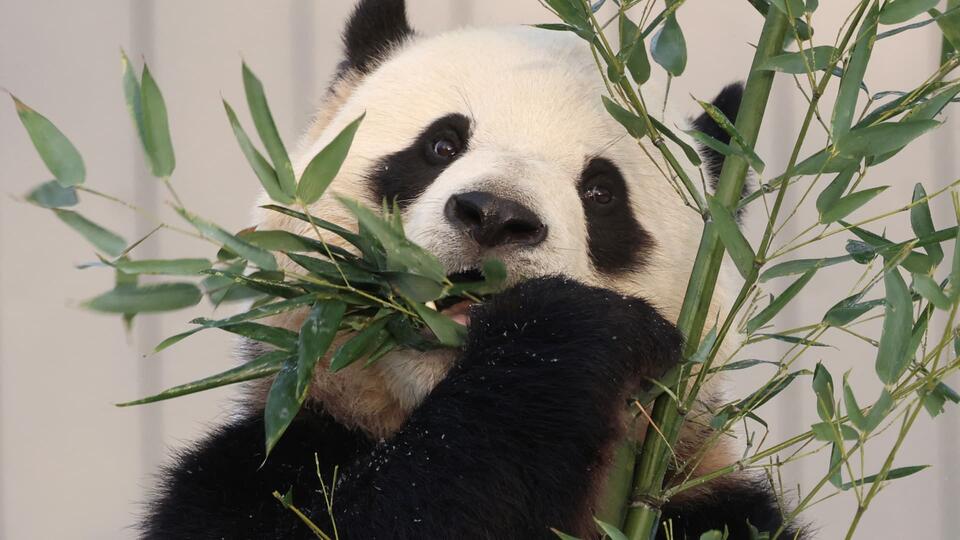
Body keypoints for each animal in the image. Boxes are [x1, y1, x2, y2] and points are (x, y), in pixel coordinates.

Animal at [142, 1, 804, 539]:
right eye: (441, 145)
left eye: (601, 192)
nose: (495, 217)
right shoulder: (262, 461)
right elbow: (394, 509)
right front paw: (565, 332)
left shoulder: (709, 504)